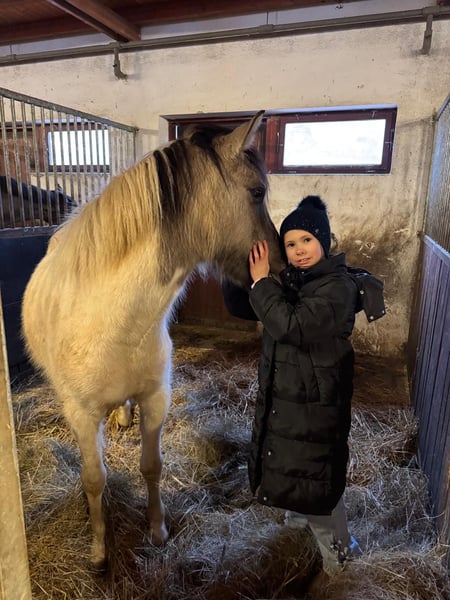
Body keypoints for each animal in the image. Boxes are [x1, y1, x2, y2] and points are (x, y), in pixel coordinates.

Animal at [22, 111, 283, 569]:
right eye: (257, 192)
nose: (286, 267)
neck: (113, 324)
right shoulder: (82, 416)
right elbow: (94, 479)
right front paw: (99, 551)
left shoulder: (156, 399)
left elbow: (152, 466)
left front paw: (158, 531)